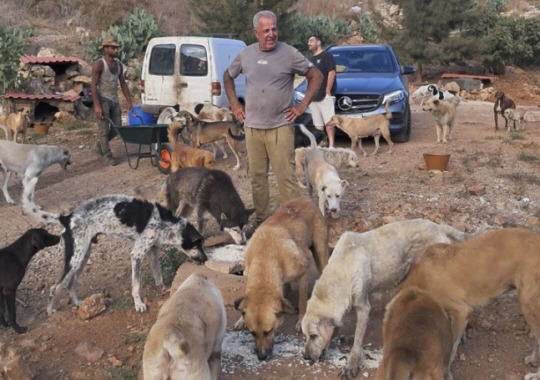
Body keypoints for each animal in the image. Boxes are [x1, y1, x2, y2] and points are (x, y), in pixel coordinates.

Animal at [235, 197, 330, 360]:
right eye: (252, 333)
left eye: (268, 331)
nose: (261, 357)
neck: (264, 258)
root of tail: (305, 198)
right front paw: (241, 318)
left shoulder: (303, 271)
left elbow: (302, 300)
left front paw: (301, 319)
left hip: (319, 252)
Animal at [300, 218, 472, 378]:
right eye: (305, 336)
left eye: (314, 336)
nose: (306, 357)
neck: (341, 269)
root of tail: (437, 226)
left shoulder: (363, 307)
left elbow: (358, 339)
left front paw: (352, 364)